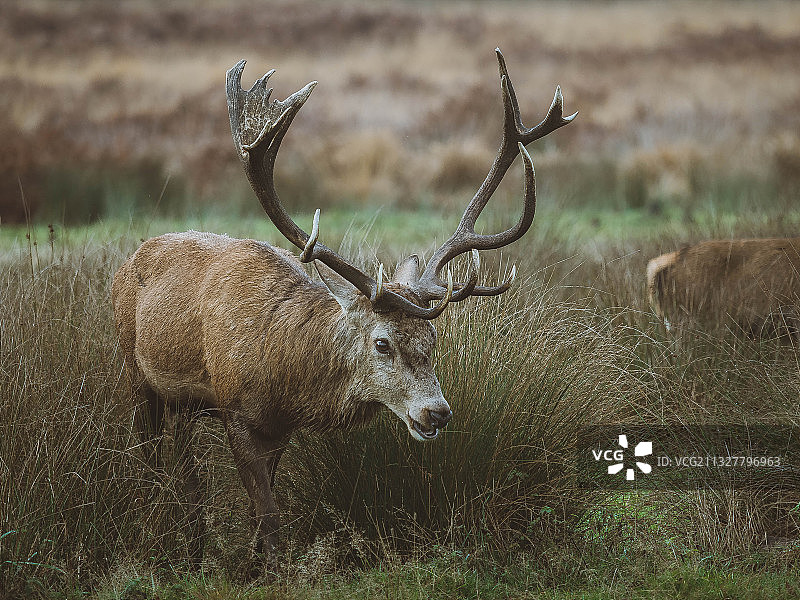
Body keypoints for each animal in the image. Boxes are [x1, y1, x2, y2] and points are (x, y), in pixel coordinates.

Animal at [111, 49, 575, 561]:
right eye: (381, 343)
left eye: (434, 338)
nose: (437, 412)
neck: (282, 376)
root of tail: (129, 260)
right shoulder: (237, 413)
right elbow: (268, 515)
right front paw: (271, 566)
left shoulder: (279, 430)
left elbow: (257, 513)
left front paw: (251, 562)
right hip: (136, 375)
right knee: (152, 456)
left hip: (182, 406)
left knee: (185, 464)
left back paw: (194, 539)